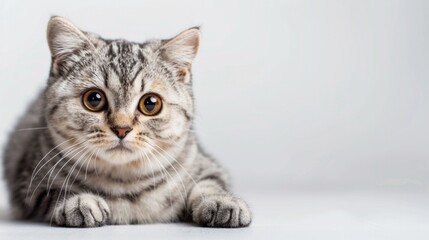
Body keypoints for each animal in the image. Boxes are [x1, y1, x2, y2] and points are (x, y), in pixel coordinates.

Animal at [2, 16, 251, 227]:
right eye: (94, 99)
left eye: (150, 104)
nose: (121, 129)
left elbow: (210, 183)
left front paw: (222, 201)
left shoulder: (205, 164)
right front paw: (80, 202)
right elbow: (56, 192)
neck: (125, 184)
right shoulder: (29, 185)